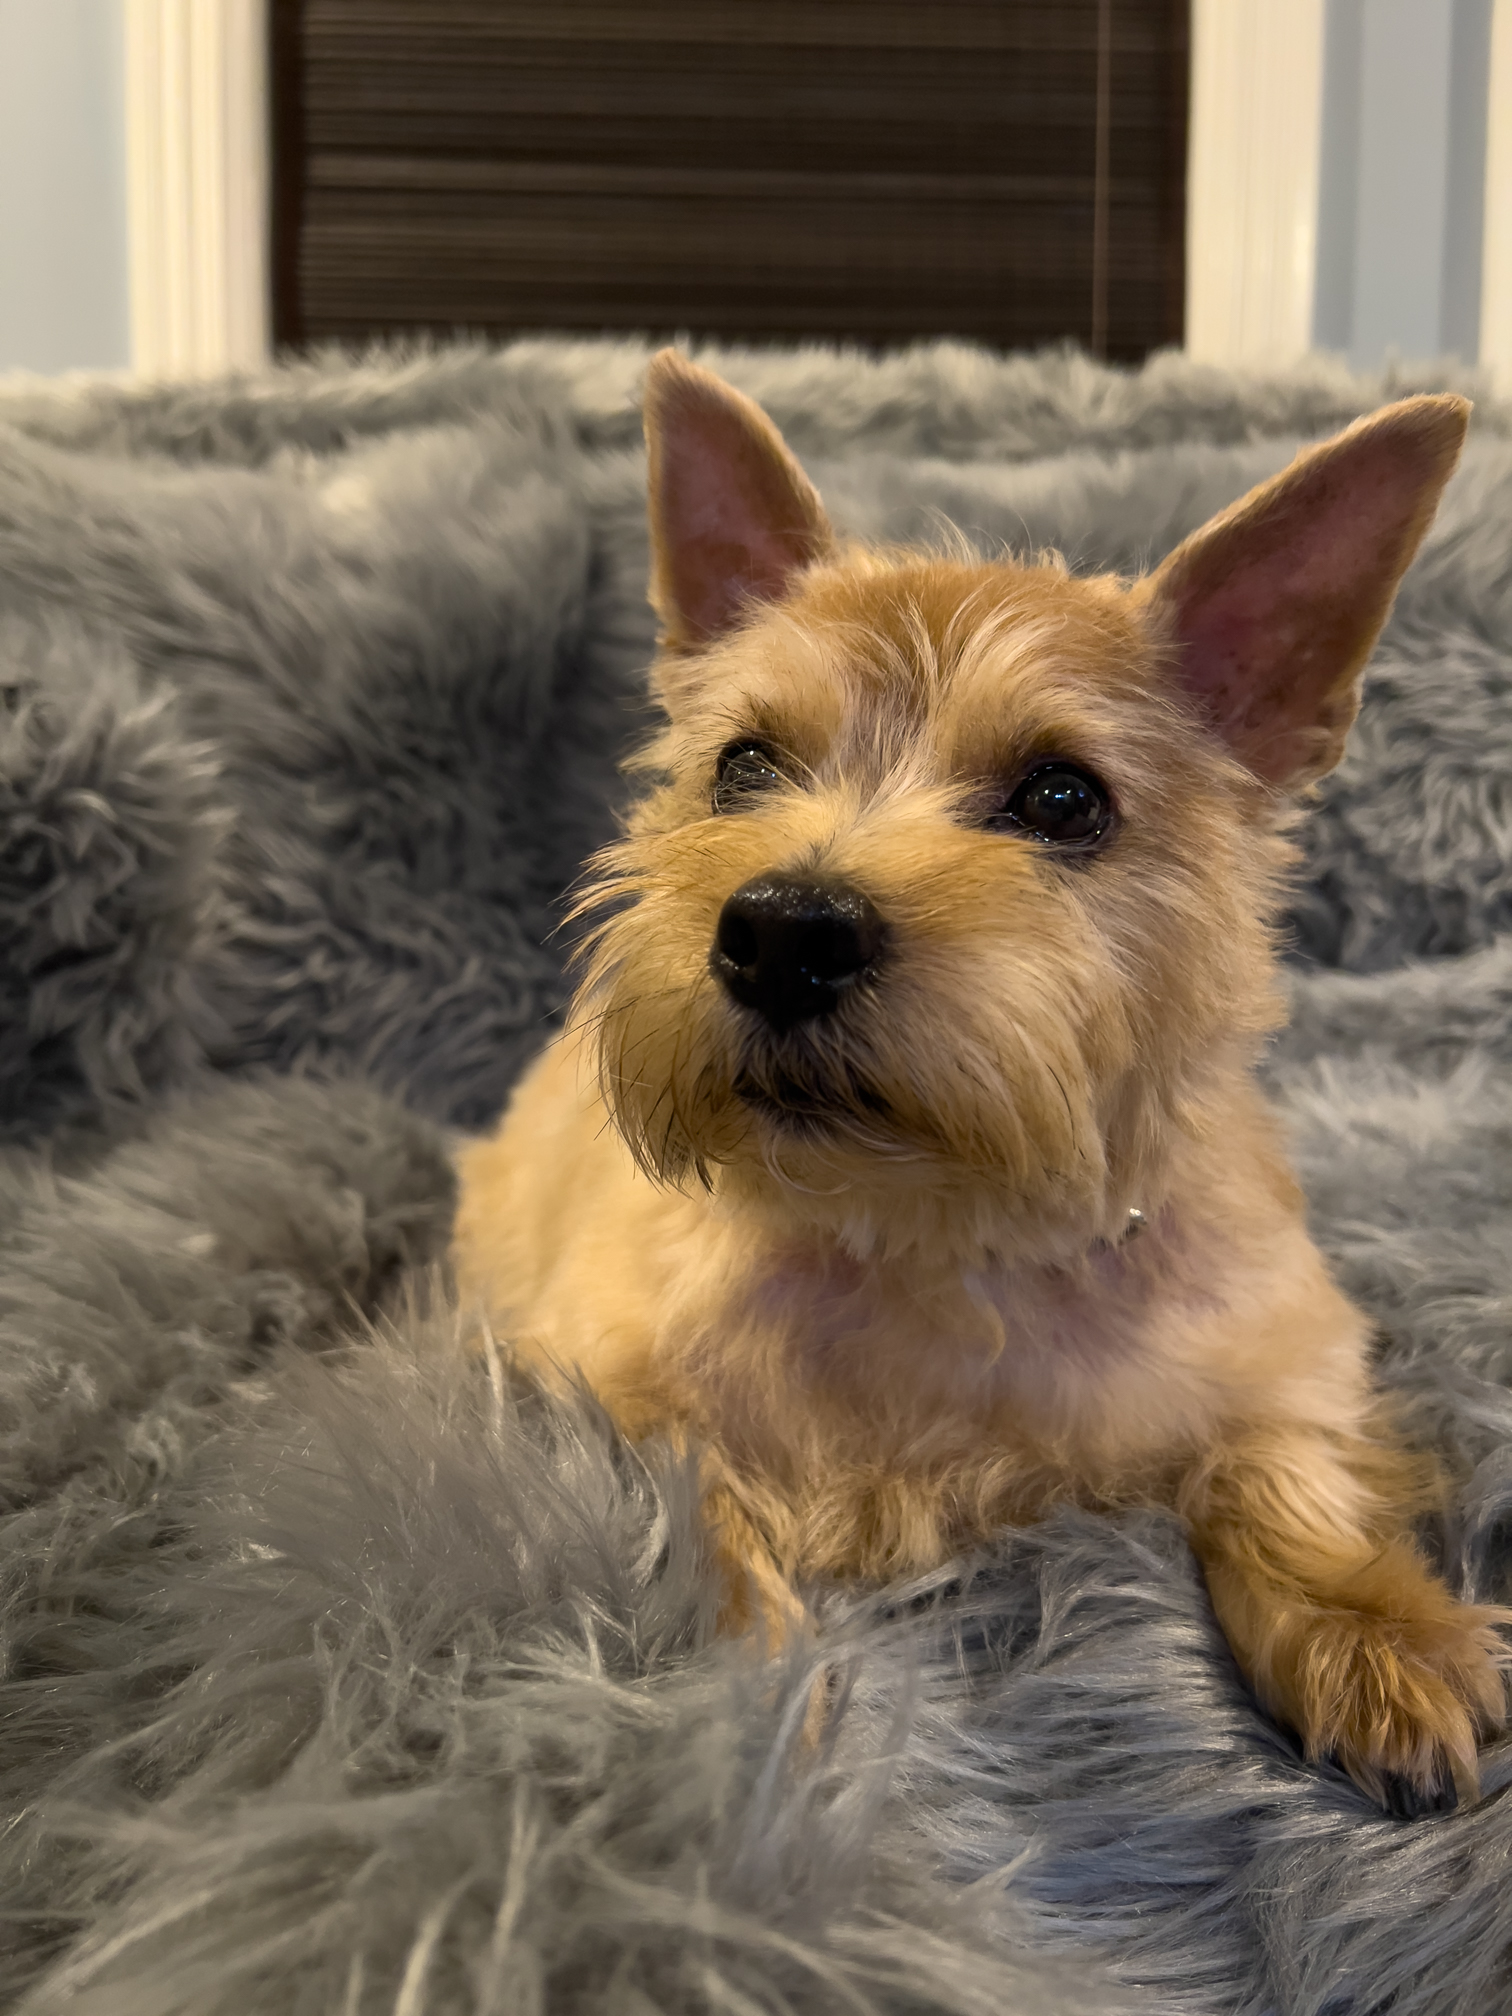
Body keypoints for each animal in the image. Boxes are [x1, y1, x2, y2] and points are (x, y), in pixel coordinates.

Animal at [453, 346, 1512, 1814]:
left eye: (1064, 800)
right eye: (743, 764)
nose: (783, 930)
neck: (935, 1232)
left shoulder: (1293, 1348)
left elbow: (1281, 1467)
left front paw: (1381, 1635)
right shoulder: (595, 1373)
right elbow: (688, 1507)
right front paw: (750, 1722)